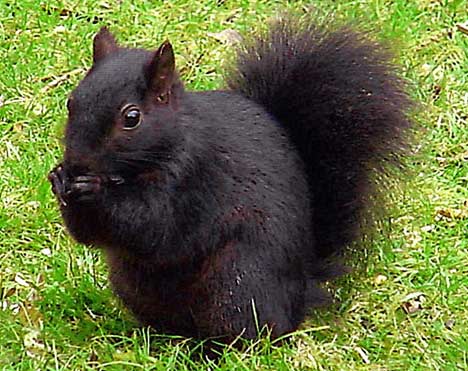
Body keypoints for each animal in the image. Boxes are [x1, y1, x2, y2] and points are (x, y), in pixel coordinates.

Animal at [49, 16, 412, 342]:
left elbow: (151, 226)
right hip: (132, 283)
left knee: (253, 331)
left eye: (131, 118)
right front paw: (59, 178)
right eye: (71, 101)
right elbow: (91, 234)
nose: (77, 162)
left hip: (236, 283)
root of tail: (302, 290)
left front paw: (92, 190)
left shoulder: (193, 178)